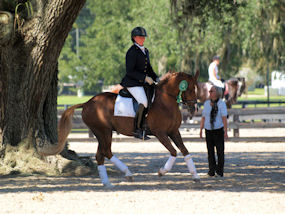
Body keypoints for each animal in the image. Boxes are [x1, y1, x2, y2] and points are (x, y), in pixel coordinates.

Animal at [58, 70, 200, 187]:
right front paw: (162, 172)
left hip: (102, 133)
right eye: (190, 88)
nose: (194, 109)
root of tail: (87, 102)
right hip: (103, 131)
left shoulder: (174, 131)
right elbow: (174, 152)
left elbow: (185, 151)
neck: (166, 100)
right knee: (107, 152)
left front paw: (195, 176)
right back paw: (127, 174)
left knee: (100, 155)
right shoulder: (160, 133)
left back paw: (107, 183)